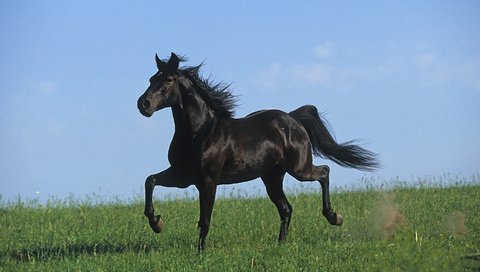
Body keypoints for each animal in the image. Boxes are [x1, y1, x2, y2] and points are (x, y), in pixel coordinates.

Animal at [136, 53, 378, 251]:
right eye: (151, 79)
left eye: (168, 80)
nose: (143, 104)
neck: (200, 132)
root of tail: (293, 118)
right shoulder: (183, 176)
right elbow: (150, 181)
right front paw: (157, 223)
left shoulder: (208, 180)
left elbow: (204, 219)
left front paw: (200, 252)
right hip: (272, 177)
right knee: (286, 208)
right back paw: (281, 244)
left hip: (299, 169)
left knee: (324, 172)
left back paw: (334, 217)